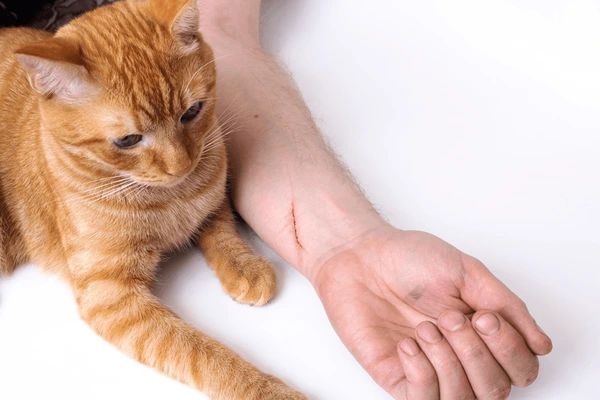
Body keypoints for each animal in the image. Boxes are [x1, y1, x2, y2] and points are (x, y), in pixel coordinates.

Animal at [0, 0, 304, 400]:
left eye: (192, 112)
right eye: (128, 140)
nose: (181, 165)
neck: (169, 197)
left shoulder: (214, 193)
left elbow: (221, 227)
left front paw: (245, 266)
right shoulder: (111, 297)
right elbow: (199, 353)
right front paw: (263, 388)